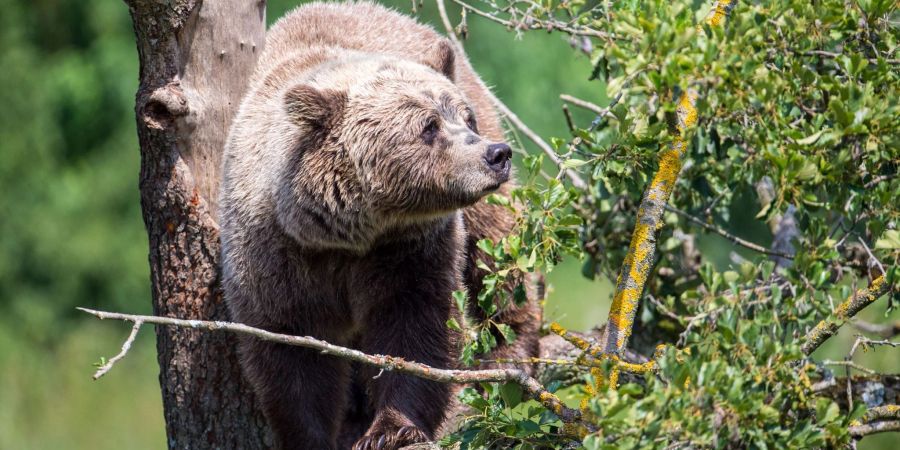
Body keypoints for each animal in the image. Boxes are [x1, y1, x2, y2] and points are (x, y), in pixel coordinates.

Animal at [221, 1, 536, 448]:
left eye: (465, 119)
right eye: (429, 126)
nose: (496, 154)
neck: (349, 233)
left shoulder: (409, 249)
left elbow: (416, 327)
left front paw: (392, 427)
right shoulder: (275, 256)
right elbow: (290, 351)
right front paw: (315, 436)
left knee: (497, 254)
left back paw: (509, 354)